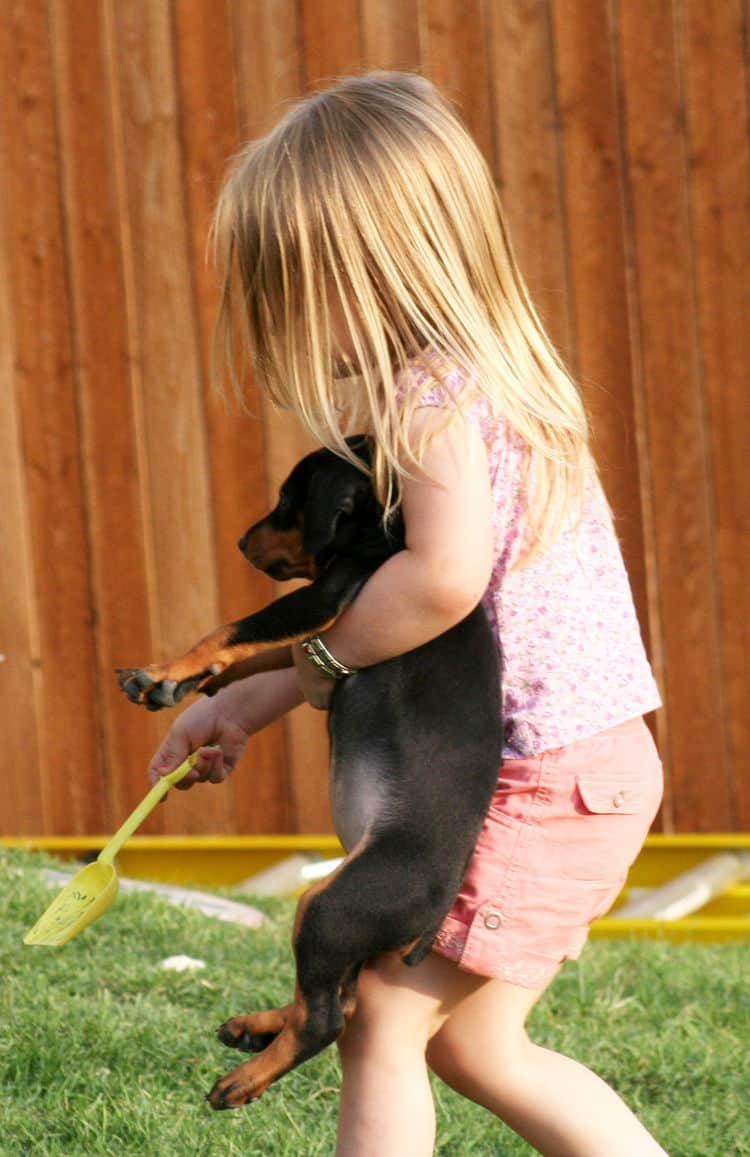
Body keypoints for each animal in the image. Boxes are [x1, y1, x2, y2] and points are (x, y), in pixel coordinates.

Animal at [118, 437, 504, 1106]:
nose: (241, 540)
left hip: (330, 909)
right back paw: (256, 1027)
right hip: (344, 930)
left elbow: (232, 628)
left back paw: (243, 1079)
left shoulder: (327, 596)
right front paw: (187, 682)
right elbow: (259, 654)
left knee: (325, 1017)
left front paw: (169, 671)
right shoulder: (320, 616)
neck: (385, 531)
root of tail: (432, 922)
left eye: (286, 501)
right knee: (336, 1002)